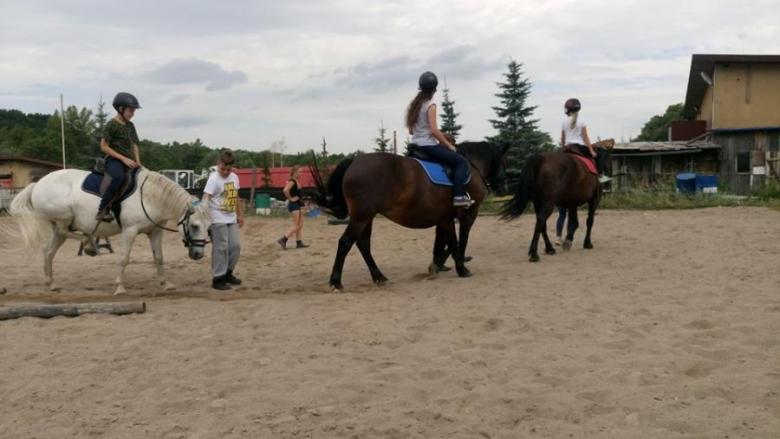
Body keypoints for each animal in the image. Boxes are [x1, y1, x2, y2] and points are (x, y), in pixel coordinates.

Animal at [9, 168, 210, 296]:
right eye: (194, 226)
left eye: (208, 228)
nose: (198, 254)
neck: (150, 197)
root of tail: (37, 183)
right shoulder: (130, 231)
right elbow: (123, 258)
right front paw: (119, 287)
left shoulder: (155, 232)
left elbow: (159, 258)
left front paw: (165, 284)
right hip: (63, 219)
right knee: (67, 232)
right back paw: (89, 244)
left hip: (59, 228)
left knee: (49, 251)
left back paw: (51, 284)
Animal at [314, 142, 508, 292]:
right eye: (504, 162)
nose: (503, 187)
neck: (471, 166)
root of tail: (355, 161)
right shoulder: (469, 214)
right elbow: (461, 241)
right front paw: (461, 268)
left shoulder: (445, 218)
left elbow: (451, 242)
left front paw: (442, 264)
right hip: (362, 216)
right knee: (345, 243)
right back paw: (336, 282)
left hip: (366, 217)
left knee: (363, 244)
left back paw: (379, 276)